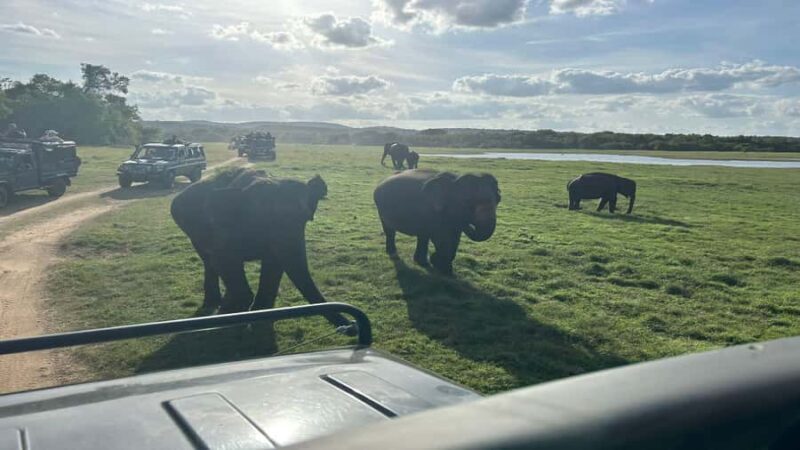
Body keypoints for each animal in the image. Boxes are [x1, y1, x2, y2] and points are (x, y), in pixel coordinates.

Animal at [170, 168, 350, 328]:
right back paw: (215, 304)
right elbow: (222, 260)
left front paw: (260, 316)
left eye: (305, 219)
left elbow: (274, 265)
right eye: (264, 221)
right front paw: (233, 315)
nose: (351, 327)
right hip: (192, 231)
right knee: (209, 261)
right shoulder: (223, 229)